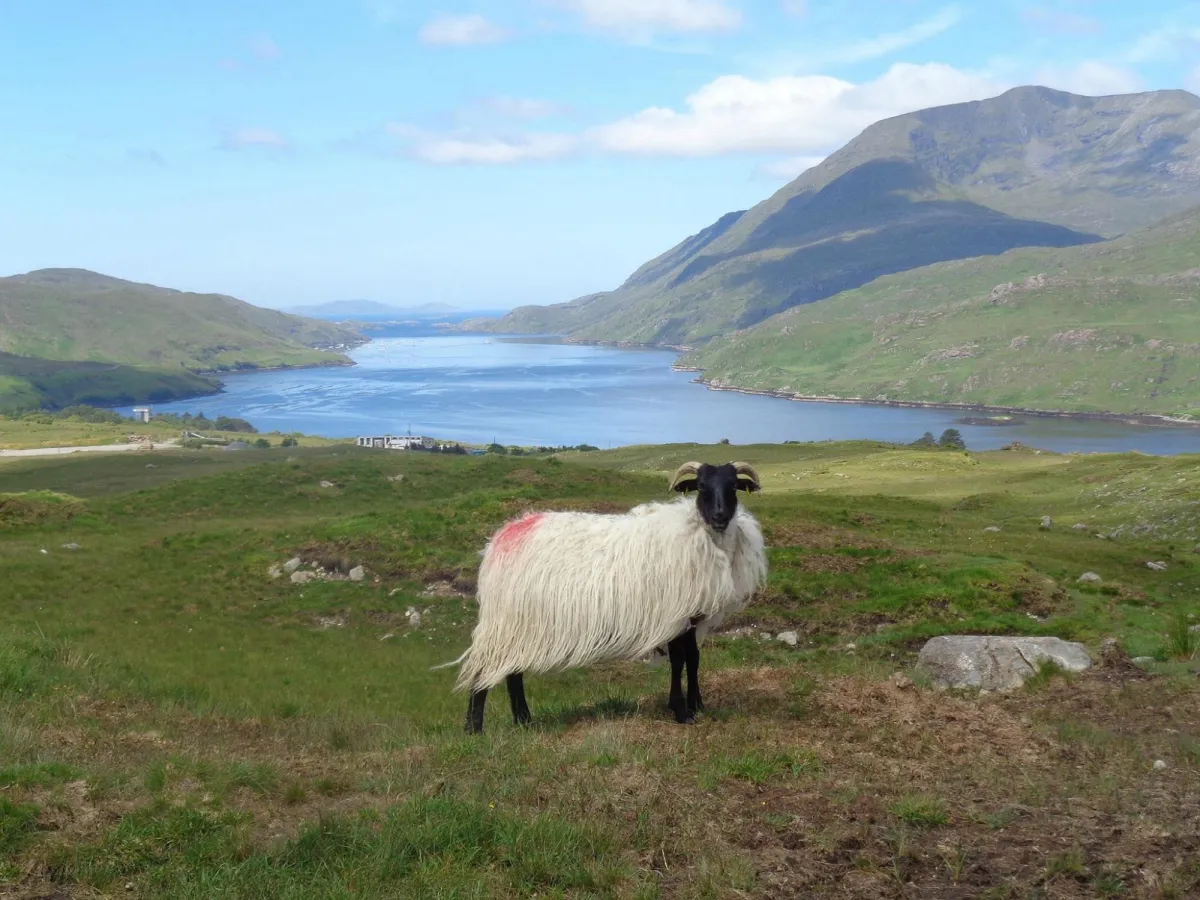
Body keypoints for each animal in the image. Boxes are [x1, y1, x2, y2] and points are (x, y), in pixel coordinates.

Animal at [435, 460, 768, 733]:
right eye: (700, 486)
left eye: (733, 486)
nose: (720, 516)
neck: (699, 534)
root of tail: (503, 538)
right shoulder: (675, 613)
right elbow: (678, 662)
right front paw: (681, 711)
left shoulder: (693, 614)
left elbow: (694, 659)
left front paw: (697, 704)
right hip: (505, 621)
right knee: (484, 670)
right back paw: (474, 729)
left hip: (522, 625)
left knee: (512, 673)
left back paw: (524, 721)